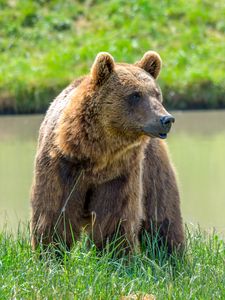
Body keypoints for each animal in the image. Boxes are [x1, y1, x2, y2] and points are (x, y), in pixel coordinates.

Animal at [30, 50, 185, 252]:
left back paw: (170, 252)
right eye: (135, 95)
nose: (166, 119)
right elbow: (55, 212)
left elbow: (115, 216)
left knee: (162, 212)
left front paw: (111, 249)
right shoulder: (61, 165)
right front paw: (52, 250)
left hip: (152, 168)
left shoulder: (119, 173)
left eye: (157, 93)